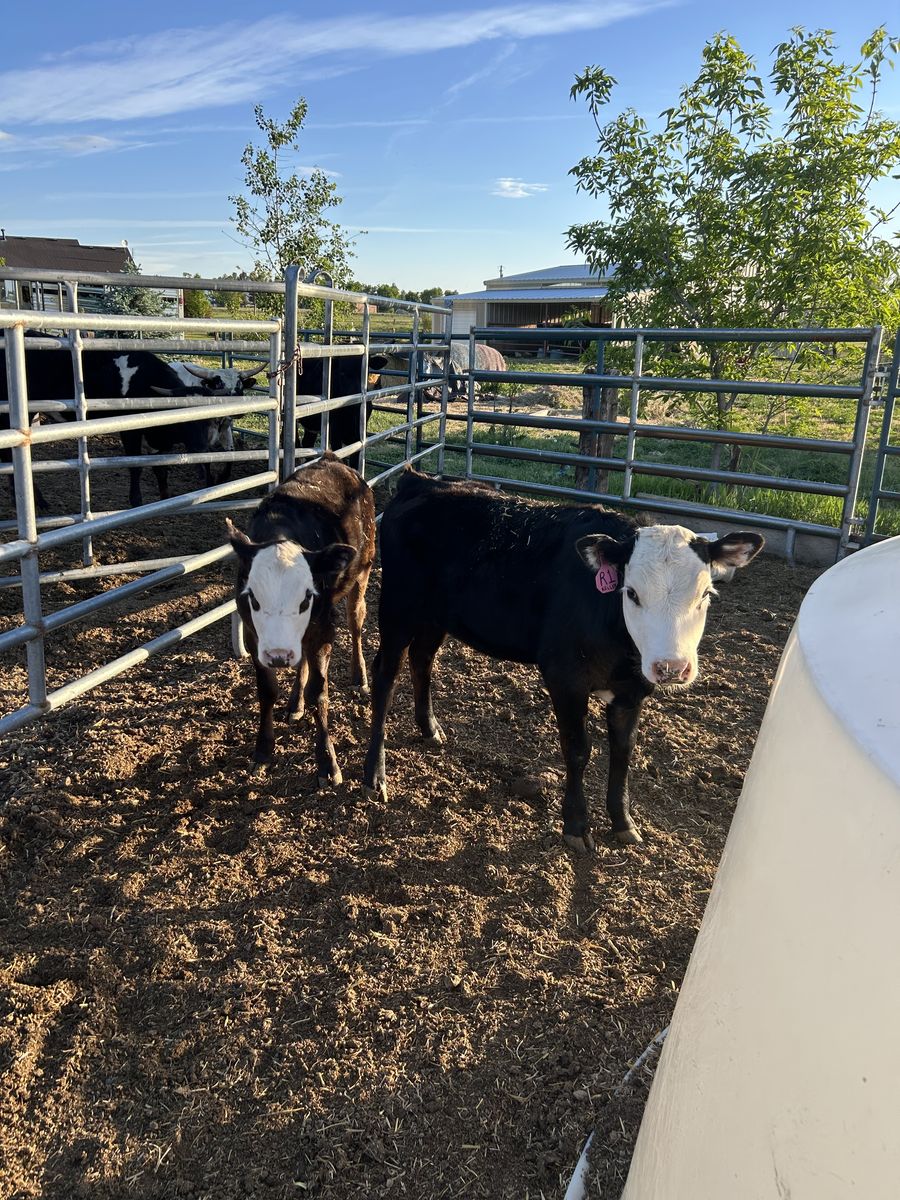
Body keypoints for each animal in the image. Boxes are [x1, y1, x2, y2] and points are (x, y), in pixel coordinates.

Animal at [226, 453, 376, 784]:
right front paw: (263, 751)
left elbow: (320, 691)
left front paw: (327, 762)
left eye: (306, 597)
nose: (279, 655)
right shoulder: (255, 638)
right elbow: (267, 690)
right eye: (253, 597)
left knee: (356, 621)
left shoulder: (322, 627)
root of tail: (334, 460)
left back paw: (359, 677)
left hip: (363, 572)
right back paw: (295, 702)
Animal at [362, 469, 763, 851]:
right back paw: (374, 775)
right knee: (386, 675)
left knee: (422, 660)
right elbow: (577, 750)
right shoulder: (565, 678)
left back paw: (430, 728)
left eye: (705, 594)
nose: (671, 668)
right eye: (631, 592)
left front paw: (624, 823)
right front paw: (576, 827)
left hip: (437, 617)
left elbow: (623, 752)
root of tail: (419, 481)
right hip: (397, 608)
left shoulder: (632, 691)